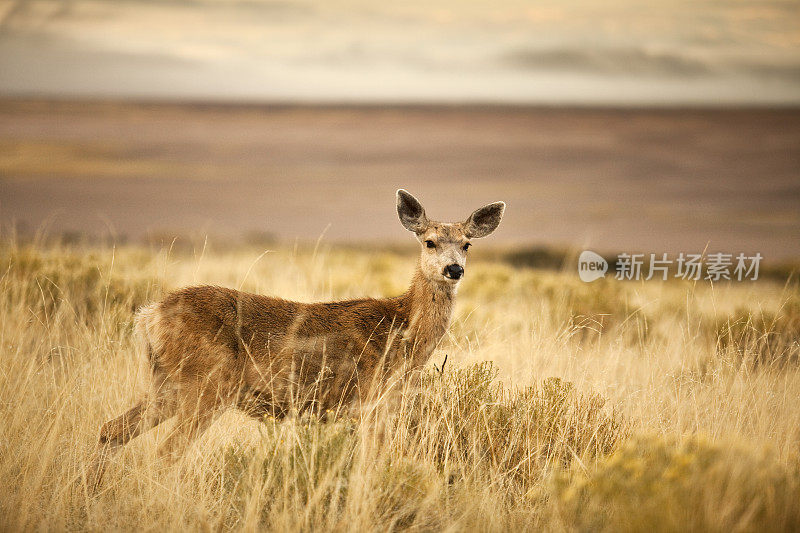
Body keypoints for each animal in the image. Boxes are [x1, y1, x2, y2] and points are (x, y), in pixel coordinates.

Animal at [84, 189, 504, 488]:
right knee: (165, 453)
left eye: (467, 244)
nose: (454, 269)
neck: (403, 333)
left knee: (111, 431)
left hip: (168, 384)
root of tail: (149, 316)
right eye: (429, 241)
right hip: (207, 384)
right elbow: (369, 467)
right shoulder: (370, 401)